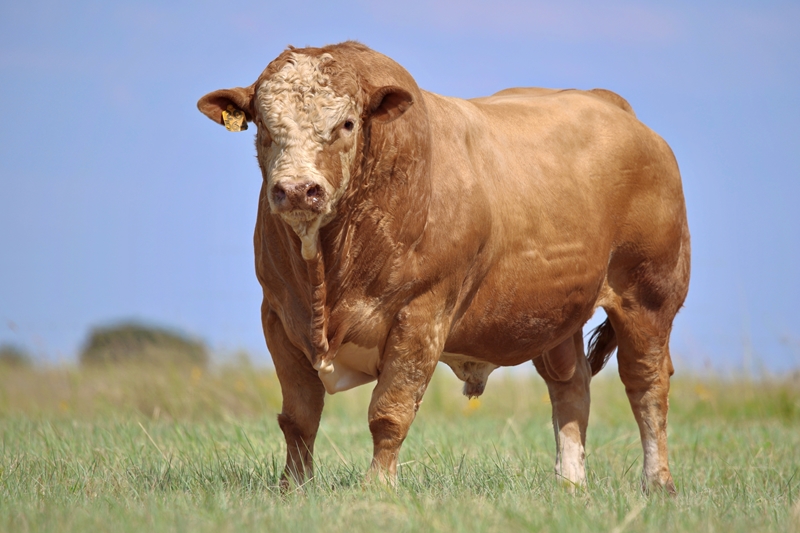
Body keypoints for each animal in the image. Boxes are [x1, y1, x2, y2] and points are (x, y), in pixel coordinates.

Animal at [197, 41, 690, 493]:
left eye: (347, 124)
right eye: (263, 126)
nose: (299, 189)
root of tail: (612, 105)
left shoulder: (422, 313)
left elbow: (389, 412)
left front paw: (377, 487)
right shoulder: (279, 314)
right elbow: (299, 417)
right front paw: (293, 488)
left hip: (649, 295)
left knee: (647, 386)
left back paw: (658, 483)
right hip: (557, 311)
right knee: (570, 386)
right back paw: (570, 484)